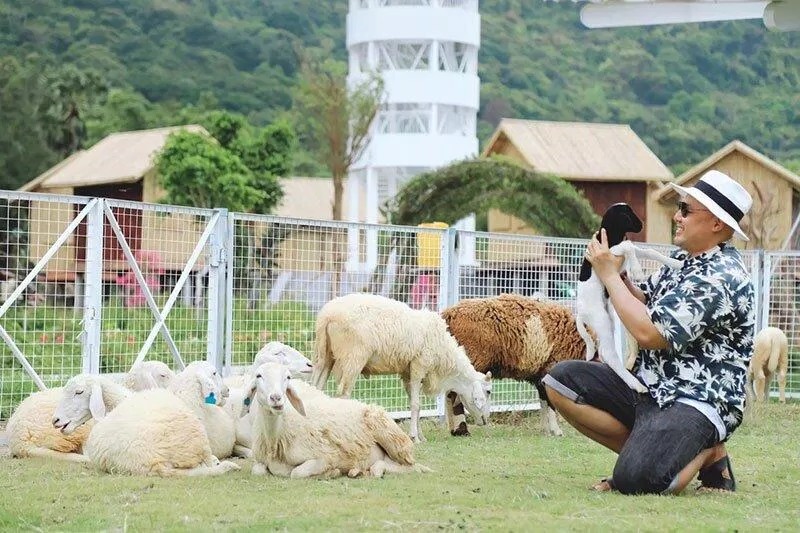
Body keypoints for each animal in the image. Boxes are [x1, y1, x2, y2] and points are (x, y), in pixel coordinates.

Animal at [312, 290, 494, 440]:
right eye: (489, 391)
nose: (486, 420)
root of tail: (327, 316)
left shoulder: (407, 373)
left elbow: (416, 405)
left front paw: (421, 437)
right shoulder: (419, 366)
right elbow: (415, 405)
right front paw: (414, 437)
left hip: (325, 356)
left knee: (315, 388)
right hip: (353, 358)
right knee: (343, 395)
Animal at [440, 290, 592, 436]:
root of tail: (449, 314)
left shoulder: (540, 374)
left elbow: (543, 401)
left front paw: (545, 430)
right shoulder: (550, 369)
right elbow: (550, 403)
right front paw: (556, 431)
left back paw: (455, 429)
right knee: (455, 393)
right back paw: (461, 430)